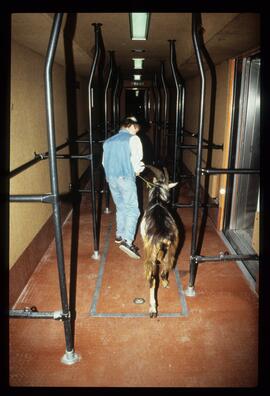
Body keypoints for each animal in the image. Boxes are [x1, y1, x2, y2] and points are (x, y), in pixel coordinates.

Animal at [139, 165, 179, 318]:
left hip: (152, 253)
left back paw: (153, 309)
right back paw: (166, 283)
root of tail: (163, 237)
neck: (157, 199)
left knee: (152, 278)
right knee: (164, 269)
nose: (168, 199)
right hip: (172, 249)